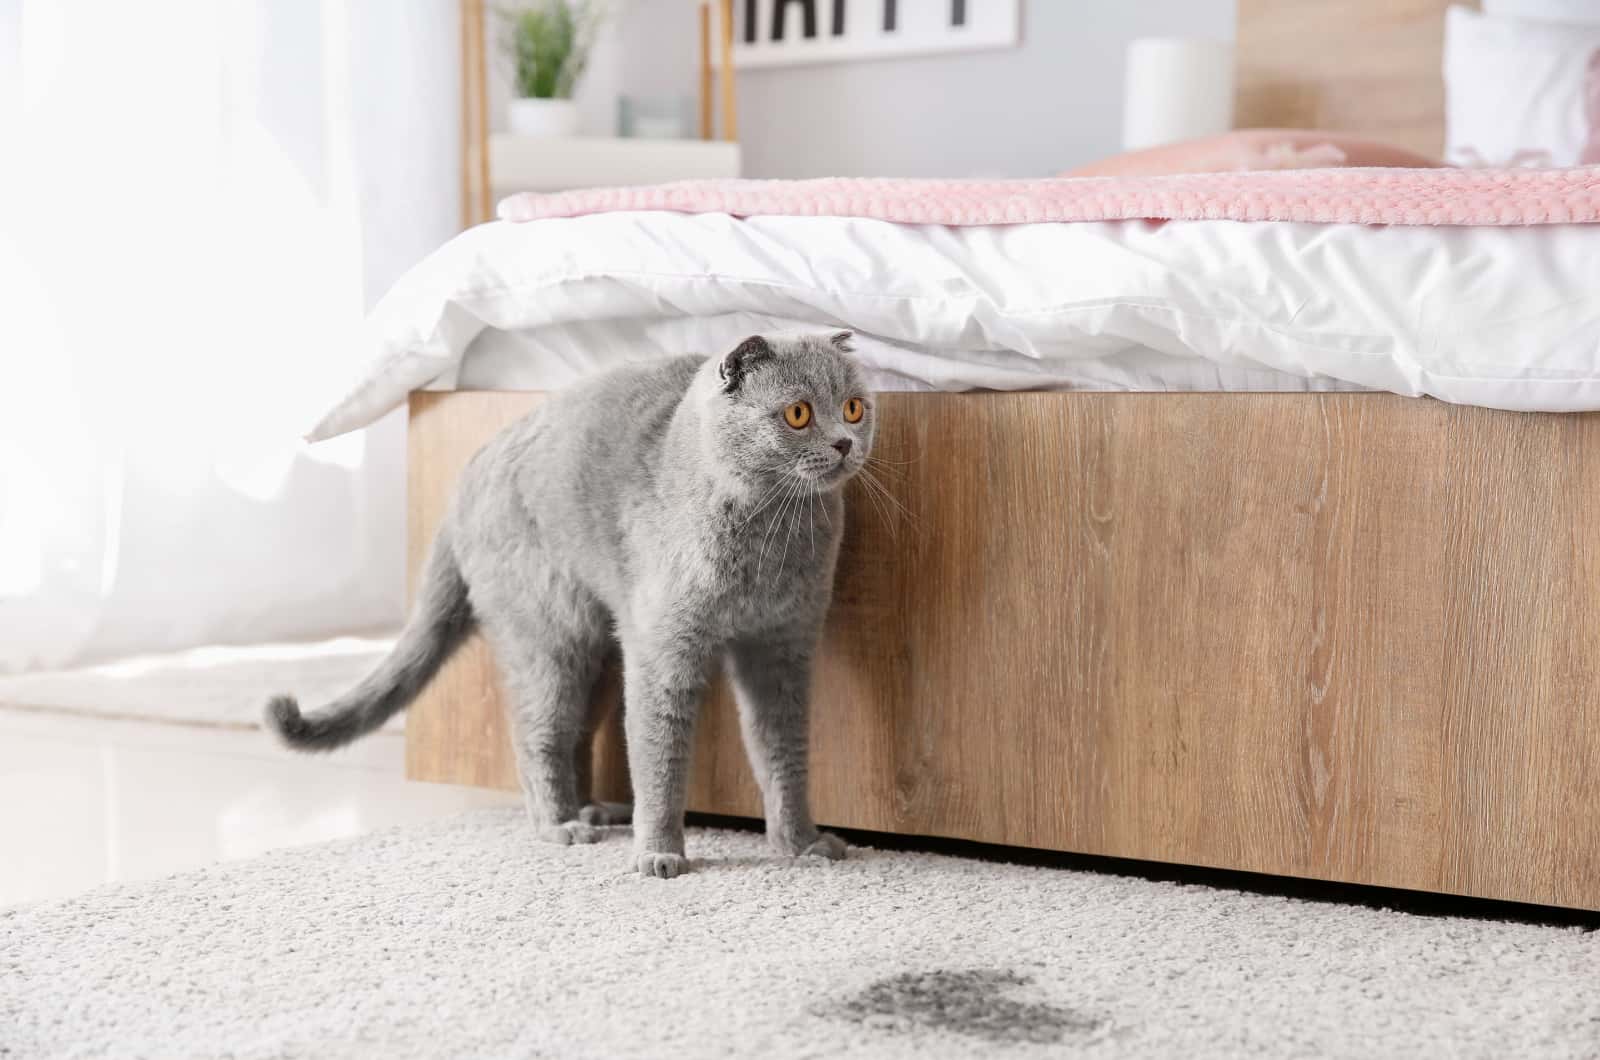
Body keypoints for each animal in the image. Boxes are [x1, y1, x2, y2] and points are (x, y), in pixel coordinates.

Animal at [270, 333, 883, 877]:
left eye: (854, 407)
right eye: (798, 414)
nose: (844, 443)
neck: (770, 535)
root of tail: (466, 478)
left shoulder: (783, 647)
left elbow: (783, 754)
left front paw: (800, 844)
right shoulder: (664, 653)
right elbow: (659, 757)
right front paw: (659, 854)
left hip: (601, 650)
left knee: (579, 732)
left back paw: (593, 810)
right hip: (551, 636)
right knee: (535, 732)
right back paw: (560, 824)